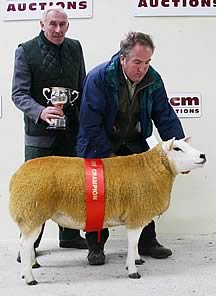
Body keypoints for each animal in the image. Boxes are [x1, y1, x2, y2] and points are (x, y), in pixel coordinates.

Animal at [9, 138, 207, 286]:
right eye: (178, 148)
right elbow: (132, 243)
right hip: (31, 213)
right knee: (24, 245)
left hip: (33, 215)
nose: (203, 155)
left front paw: (137, 260)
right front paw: (133, 271)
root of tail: (16, 176)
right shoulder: (136, 216)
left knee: (26, 244)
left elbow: (135, 244)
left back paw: (32, 265)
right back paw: (29, 278)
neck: (151, 170)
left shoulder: (137, 217)